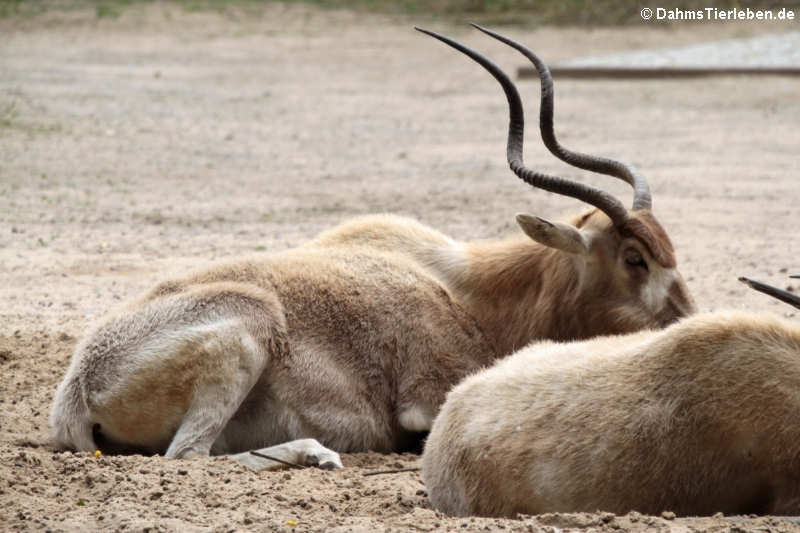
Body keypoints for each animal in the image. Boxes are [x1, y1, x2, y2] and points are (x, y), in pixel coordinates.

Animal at [51, 27, 692, 470]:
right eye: (634, 258)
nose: (687, 322)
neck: (471, 295)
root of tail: (77, 389)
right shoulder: (425, 400)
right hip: (249, 325)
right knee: (188, 456)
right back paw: (316, 454)